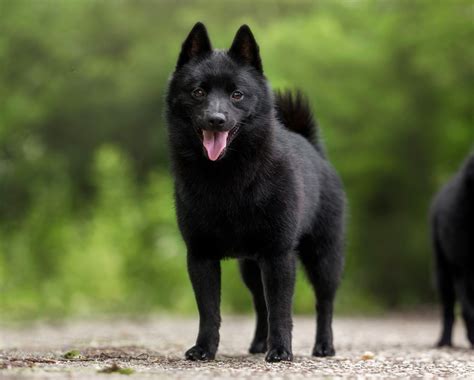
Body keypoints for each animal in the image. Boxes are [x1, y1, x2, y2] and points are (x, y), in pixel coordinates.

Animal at [166, 23, 344, 362]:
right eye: (198, 92)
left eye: (237, 94)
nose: (216, 119)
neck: (227, 178)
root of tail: (312, 147)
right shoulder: (201, 256)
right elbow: (209, 311)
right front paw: (204, 349)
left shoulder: (278, 254)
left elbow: (281, 310)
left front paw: (281, 350)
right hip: (250, 267)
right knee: (260, 303)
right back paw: (259, 343)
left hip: (323, 258)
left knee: (324, 303)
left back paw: (324, 346)